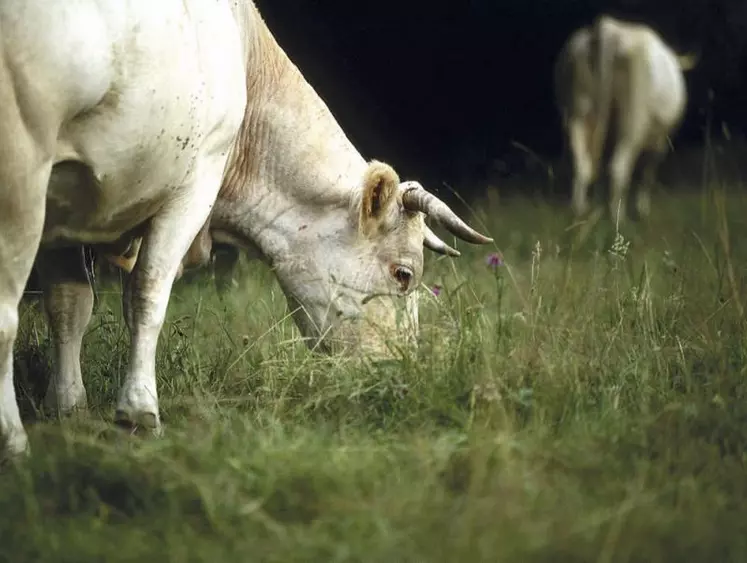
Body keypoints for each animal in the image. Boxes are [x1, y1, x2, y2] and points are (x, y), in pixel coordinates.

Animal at [0, 0, 494, 460]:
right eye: (404, 274)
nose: (398, 374)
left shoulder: (66, 205)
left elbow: (69, 305)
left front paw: (68, 409)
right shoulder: (194, 184)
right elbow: (146, 296)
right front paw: (138, 413)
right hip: (21, 175)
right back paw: (14, 441)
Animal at [556, 15, 696, 223]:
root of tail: (611, 29)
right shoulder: (661, 141)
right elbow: (648, 173)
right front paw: (642, 210)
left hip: (578, 114)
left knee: (582, 165)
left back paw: (580, 210)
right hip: (632, 121)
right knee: (618, 167)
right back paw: (617, 217)